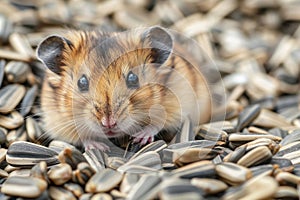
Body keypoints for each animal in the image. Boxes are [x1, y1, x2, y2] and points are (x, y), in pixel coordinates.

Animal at [37, 26, 211, 151]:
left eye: (133, 78)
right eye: (82, 82)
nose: (108, 124)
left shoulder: (177, 104)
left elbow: (157, 123)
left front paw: (140, 137)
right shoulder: (58, 120)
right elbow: (82, 136)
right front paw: (99, 147)